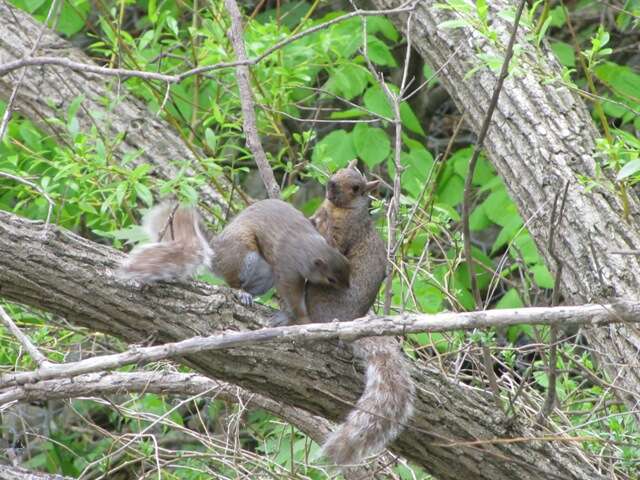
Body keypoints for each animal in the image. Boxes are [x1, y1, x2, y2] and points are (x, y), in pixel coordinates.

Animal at [119, 197, 350, 324]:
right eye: (331, 279)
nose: (347, 289)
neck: (307, 246)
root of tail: (214, 252)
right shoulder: (287, 268)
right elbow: (291, 294)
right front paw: (302, 318)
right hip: (243, 257)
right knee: (231, 282)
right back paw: (240, 292)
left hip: (264, 273)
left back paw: (249, 295)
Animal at [308, 160, 418, 464]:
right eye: (336, 171)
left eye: (357, 187)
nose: (331, 184)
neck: (338, 209)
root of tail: (349, 321)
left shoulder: (344, 234)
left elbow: (331, 246)